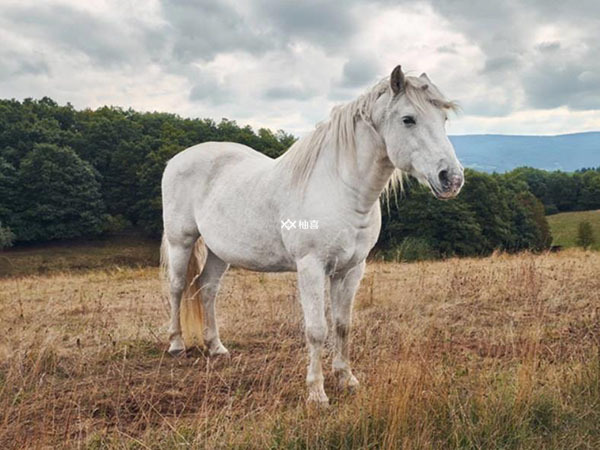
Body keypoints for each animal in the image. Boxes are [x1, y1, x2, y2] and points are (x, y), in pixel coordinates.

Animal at [159, 66, 464, 404]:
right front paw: (317, 392)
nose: (451, 179)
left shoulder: (351, 270)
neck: (341, 188)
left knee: (207, 288)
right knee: (176, 287)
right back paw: (176, 344)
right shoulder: (312, 267)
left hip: (218, 251)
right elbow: (317, 329)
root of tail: (177, 160)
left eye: (443, 118)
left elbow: (343, 325)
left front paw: (346, 378)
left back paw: (216, 347)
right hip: (181, 241)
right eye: (408, 119)